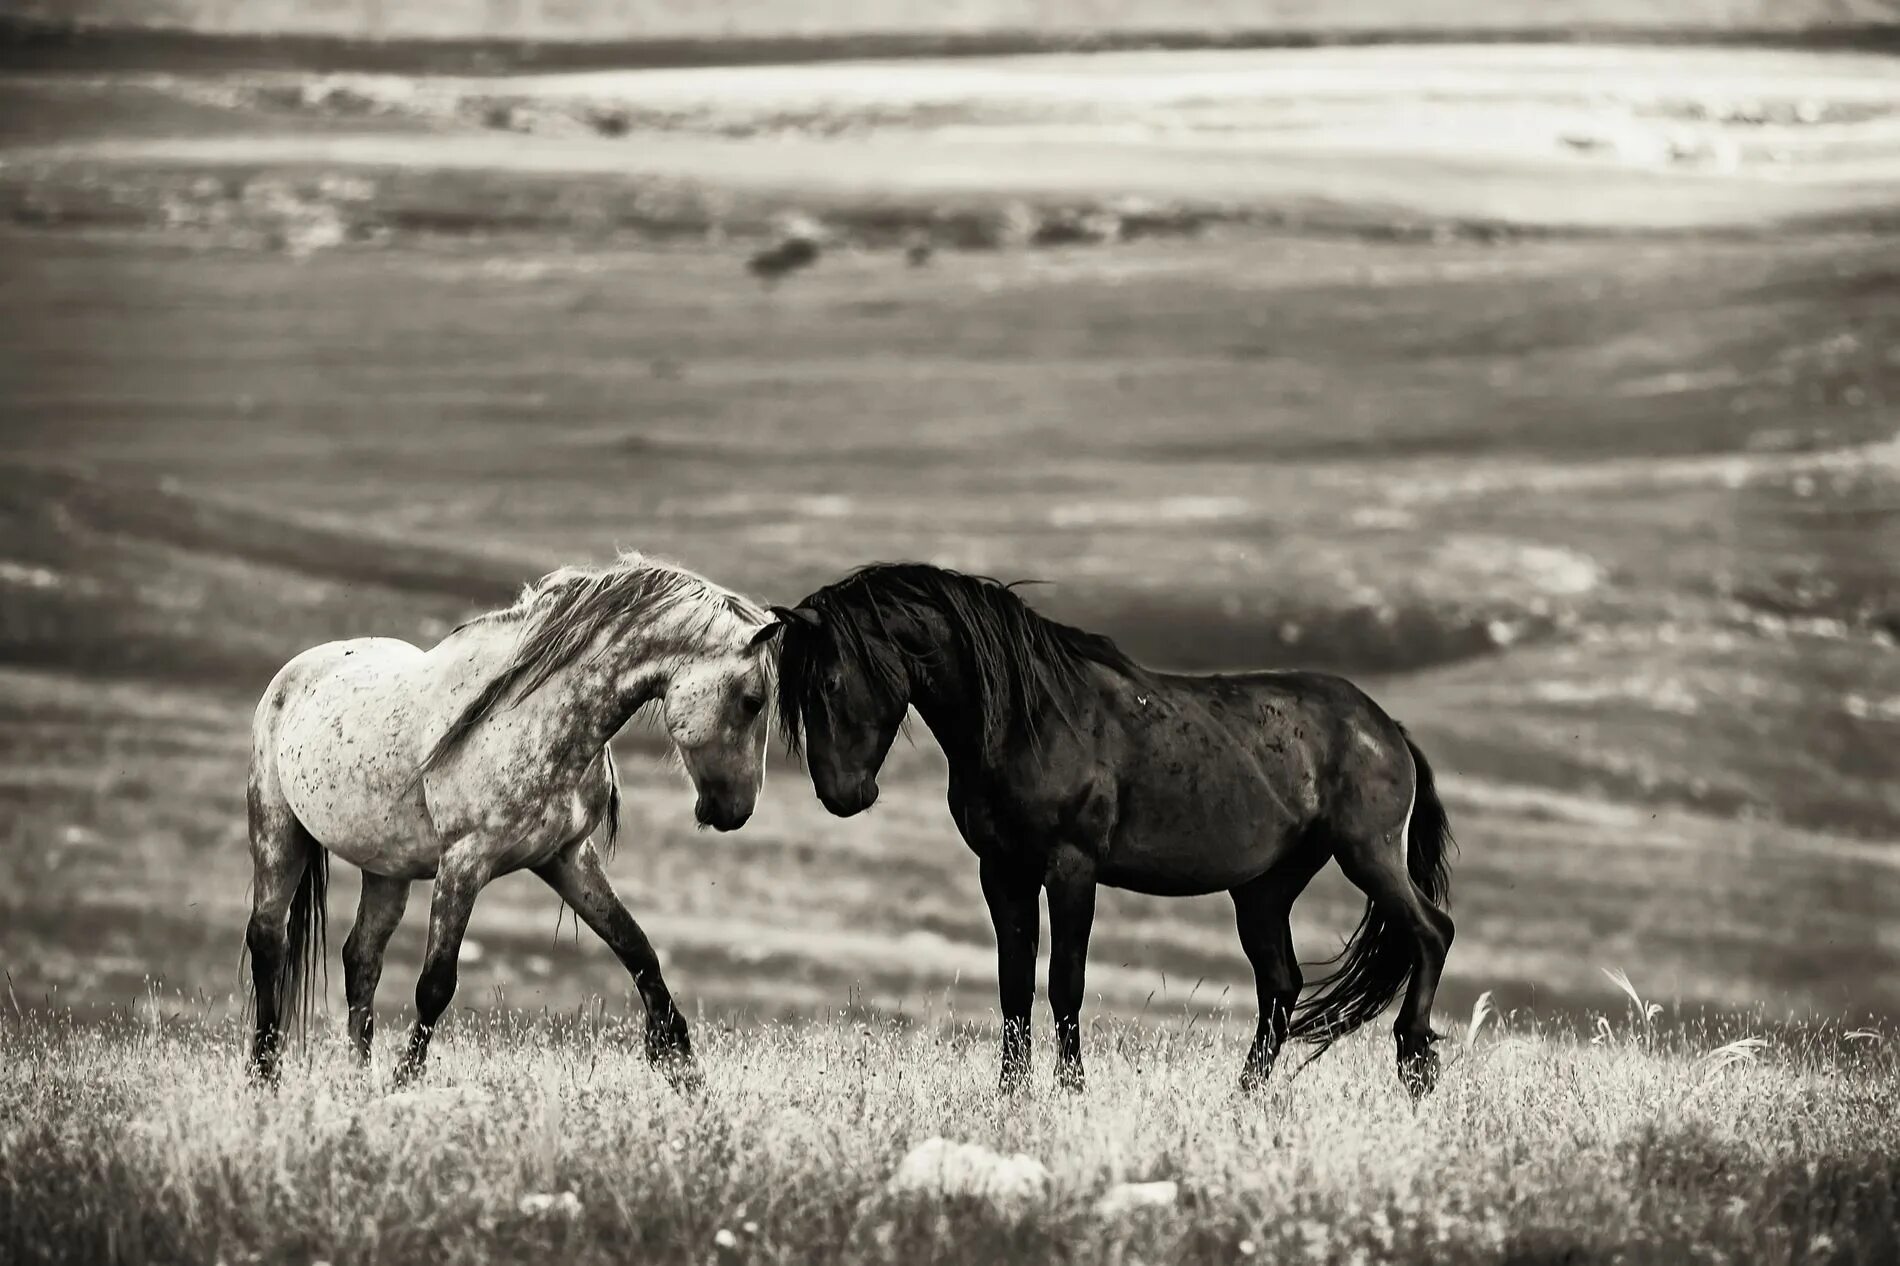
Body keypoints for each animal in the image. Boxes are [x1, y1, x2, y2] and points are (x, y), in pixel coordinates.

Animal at [243, 551, 779, 1087]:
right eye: (752, 701)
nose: (738, 810)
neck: (532, 716)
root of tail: (295, 672)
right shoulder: (464, 862)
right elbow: (435, 984)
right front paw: (404, 1083)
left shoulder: (567, 857)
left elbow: (639, 951)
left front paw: (682, 1068)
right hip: (277, 832)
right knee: (268, 940)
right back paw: (264, 1076)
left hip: (387, 870)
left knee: (361, 958)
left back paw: (358, 1079)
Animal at [771, 562, 1451, 1094]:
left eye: (830, 681)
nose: (841, 795)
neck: (1027, 719)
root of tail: (1385, 728)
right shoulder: (1003, 872)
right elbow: (1013, 987)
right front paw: (1011, 1094)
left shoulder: (1072, 868)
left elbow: (1063, 983)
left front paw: (1072, 1090)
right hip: (1263, 889)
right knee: (1281, 987)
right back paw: (1246, 1096)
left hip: (1367, 854)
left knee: (1431, 933)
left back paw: (1415, 1062)